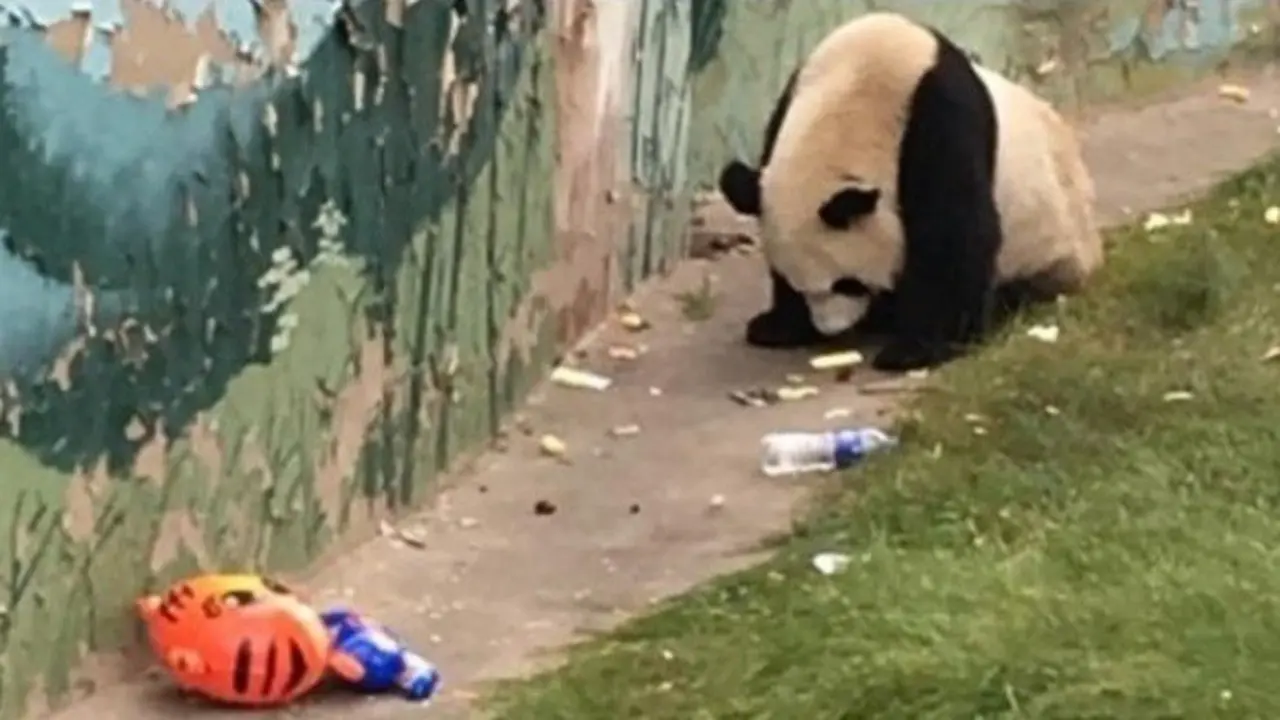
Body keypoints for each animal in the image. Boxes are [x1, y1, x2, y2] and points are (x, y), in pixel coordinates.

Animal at [717, 12, 1103, 372]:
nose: (830, 328)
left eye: (848, 283)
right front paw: (778, 325)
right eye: (799, 284)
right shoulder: (790, 102)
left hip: (1049, 246)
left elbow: (951, 234)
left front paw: (916, 349)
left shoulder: (941, 122)